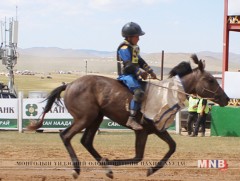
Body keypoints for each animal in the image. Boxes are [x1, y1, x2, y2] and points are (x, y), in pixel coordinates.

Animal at [27, 53, 229, 178]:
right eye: (210, 80)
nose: (226, 99)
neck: (167, 93)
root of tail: (69, 85)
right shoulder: (149, 129)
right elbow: (150, 153)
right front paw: (114, 161)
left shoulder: (149, 131)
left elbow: (164, 149)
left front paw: (150, 169)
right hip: (85, 118)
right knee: (66, 135)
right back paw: (78, 169)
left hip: (95, 118)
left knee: (86, 141)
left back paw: (106, 168)